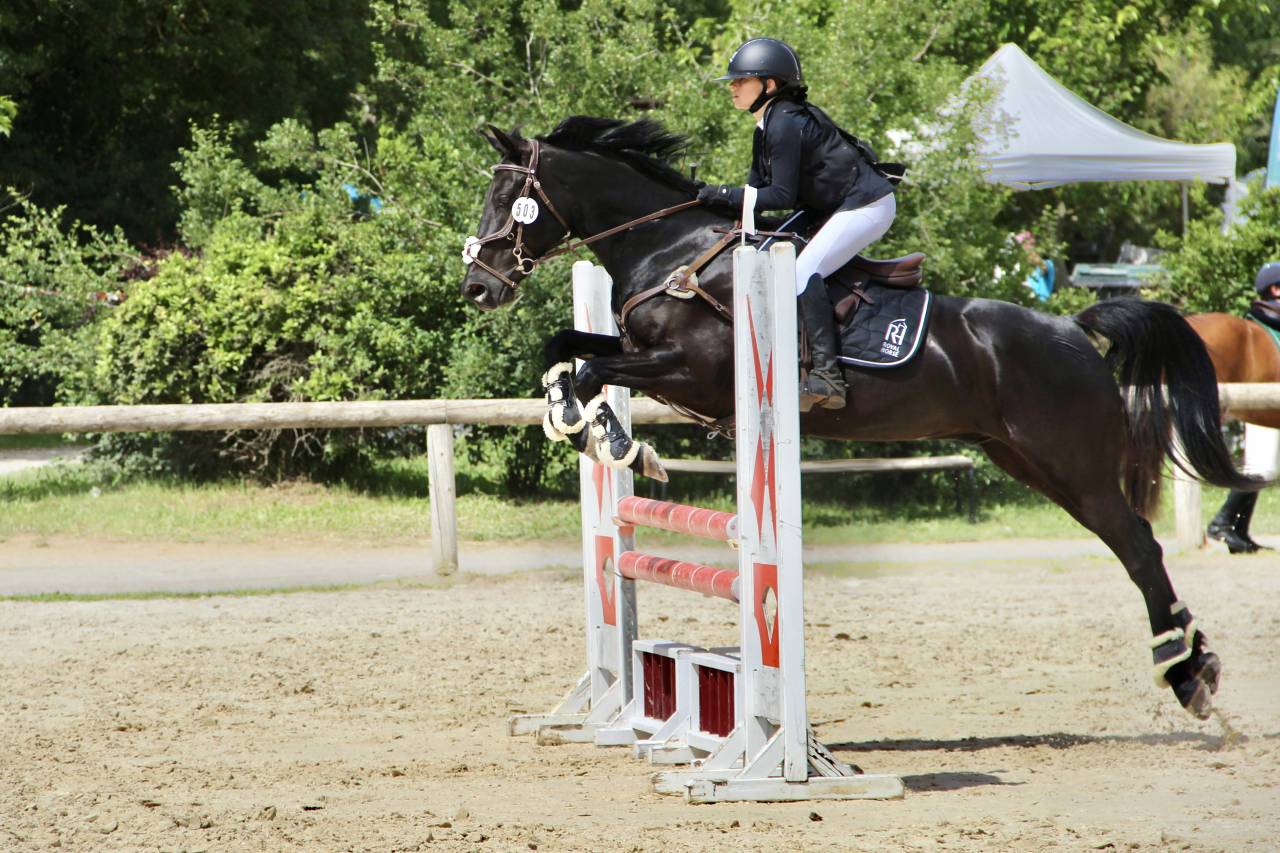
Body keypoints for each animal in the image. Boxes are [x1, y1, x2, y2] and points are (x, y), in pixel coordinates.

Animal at [460, 115, 1259, 720]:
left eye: (510, 198)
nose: (478, 287)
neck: (670, 250)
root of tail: (1074, 327)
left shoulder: (695, 374)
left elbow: (594, 370)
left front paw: (612, 436)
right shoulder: (643, 354)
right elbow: (566, 348)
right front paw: (586, 423)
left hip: (1075, 464)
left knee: (1140, 548)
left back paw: (1188, 675)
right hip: (1031, 462)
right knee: (1128, 545)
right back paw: (1193, 663)